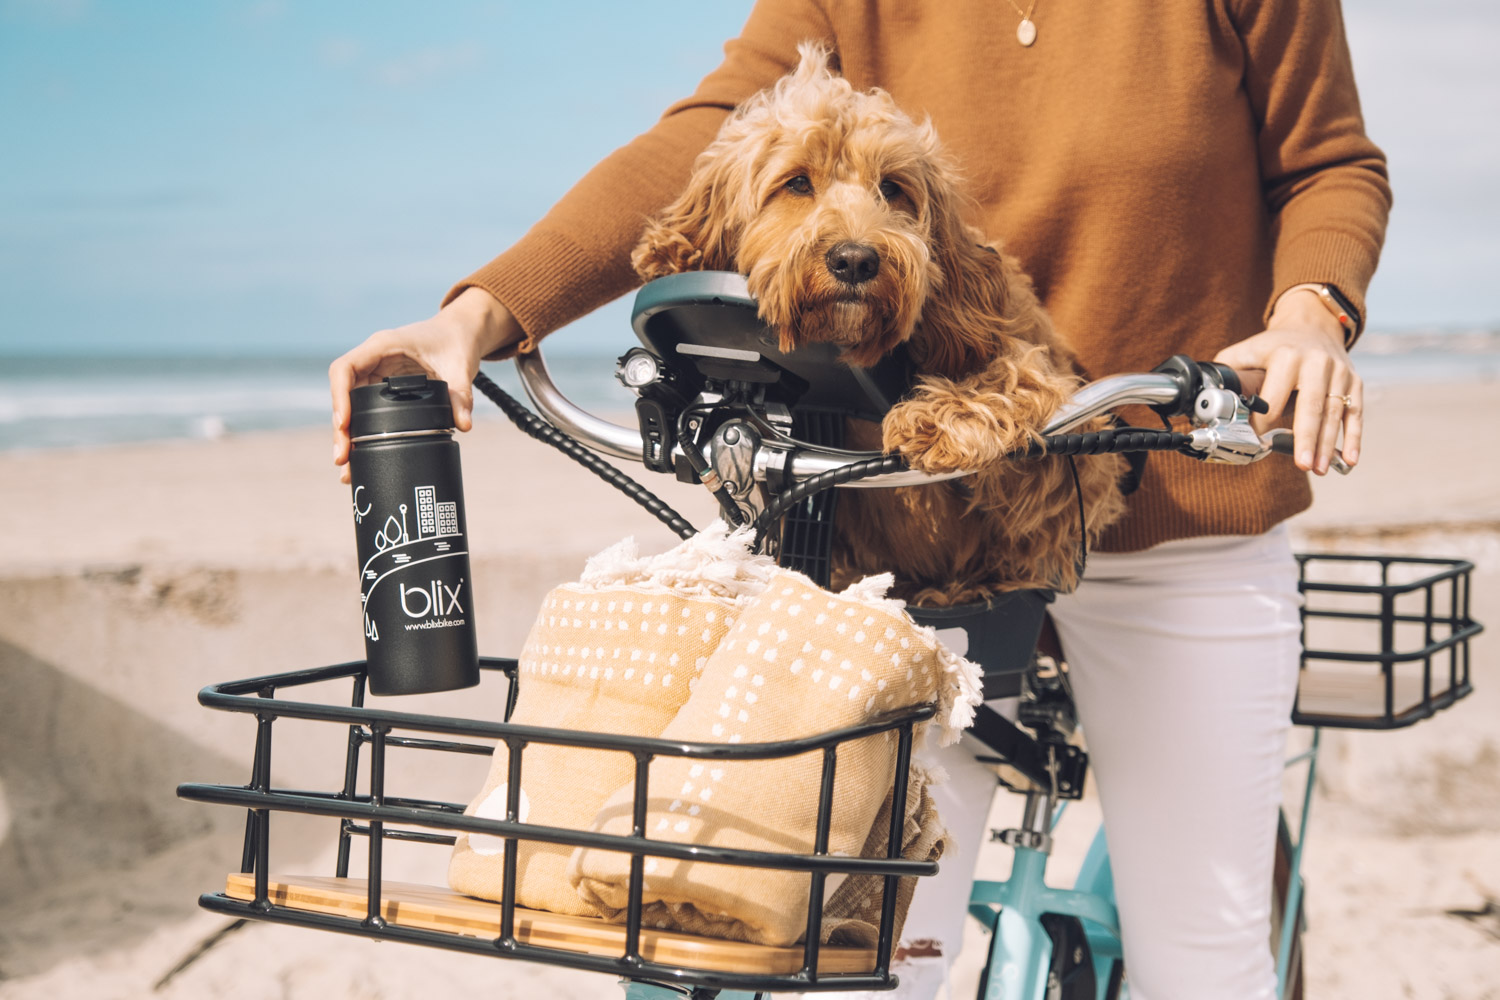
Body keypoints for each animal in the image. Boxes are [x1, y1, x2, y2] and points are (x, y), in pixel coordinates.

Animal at [630, 44, 1128, 602]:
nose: (855, 261)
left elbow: (1021, 379)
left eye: (892, 188)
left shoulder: (1072, 470)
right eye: (797, 182)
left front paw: (937, 418)